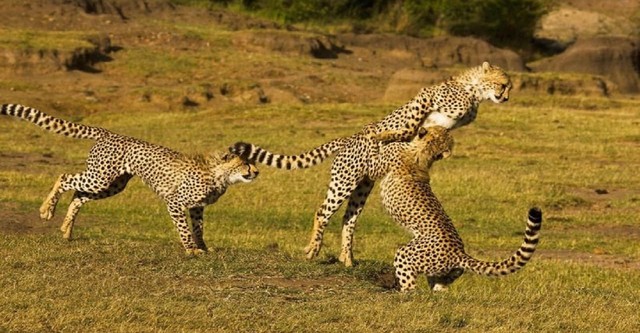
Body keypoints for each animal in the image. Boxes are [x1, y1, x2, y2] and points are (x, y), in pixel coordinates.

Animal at [1, 102, 260, 253]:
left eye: (252, 161)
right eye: (245, 163)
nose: (256, 171)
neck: (220, 175)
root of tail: (110, 133)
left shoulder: (197, 207)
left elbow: (198, 228)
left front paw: (203, 248)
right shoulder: (175, 202)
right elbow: (184, 228)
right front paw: (190, 249)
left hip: (110, 185)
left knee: (78, 195)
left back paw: (66, 231)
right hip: (99, 178)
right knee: (65, 177)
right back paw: (47, 211)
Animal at [232, 61, 512, 266]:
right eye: (503, 84)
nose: (506, 97)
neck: (473, 92)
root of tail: (346, 140)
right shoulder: (425, 97)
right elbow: (408, 126)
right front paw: (380, 135)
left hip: (363, 187)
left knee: (348, 218)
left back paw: (347, 258)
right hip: (343, 182)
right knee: (322, 212)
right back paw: (313, 249)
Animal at [372, 126, 544, 290]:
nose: (448, 129)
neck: (426, 150)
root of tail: (459, 253)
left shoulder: (378, 166)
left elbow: (376, 149)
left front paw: (382, 134)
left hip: (406, 255)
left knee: (411, 287)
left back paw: (401, 294)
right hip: (441, 274)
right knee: (439, 290)